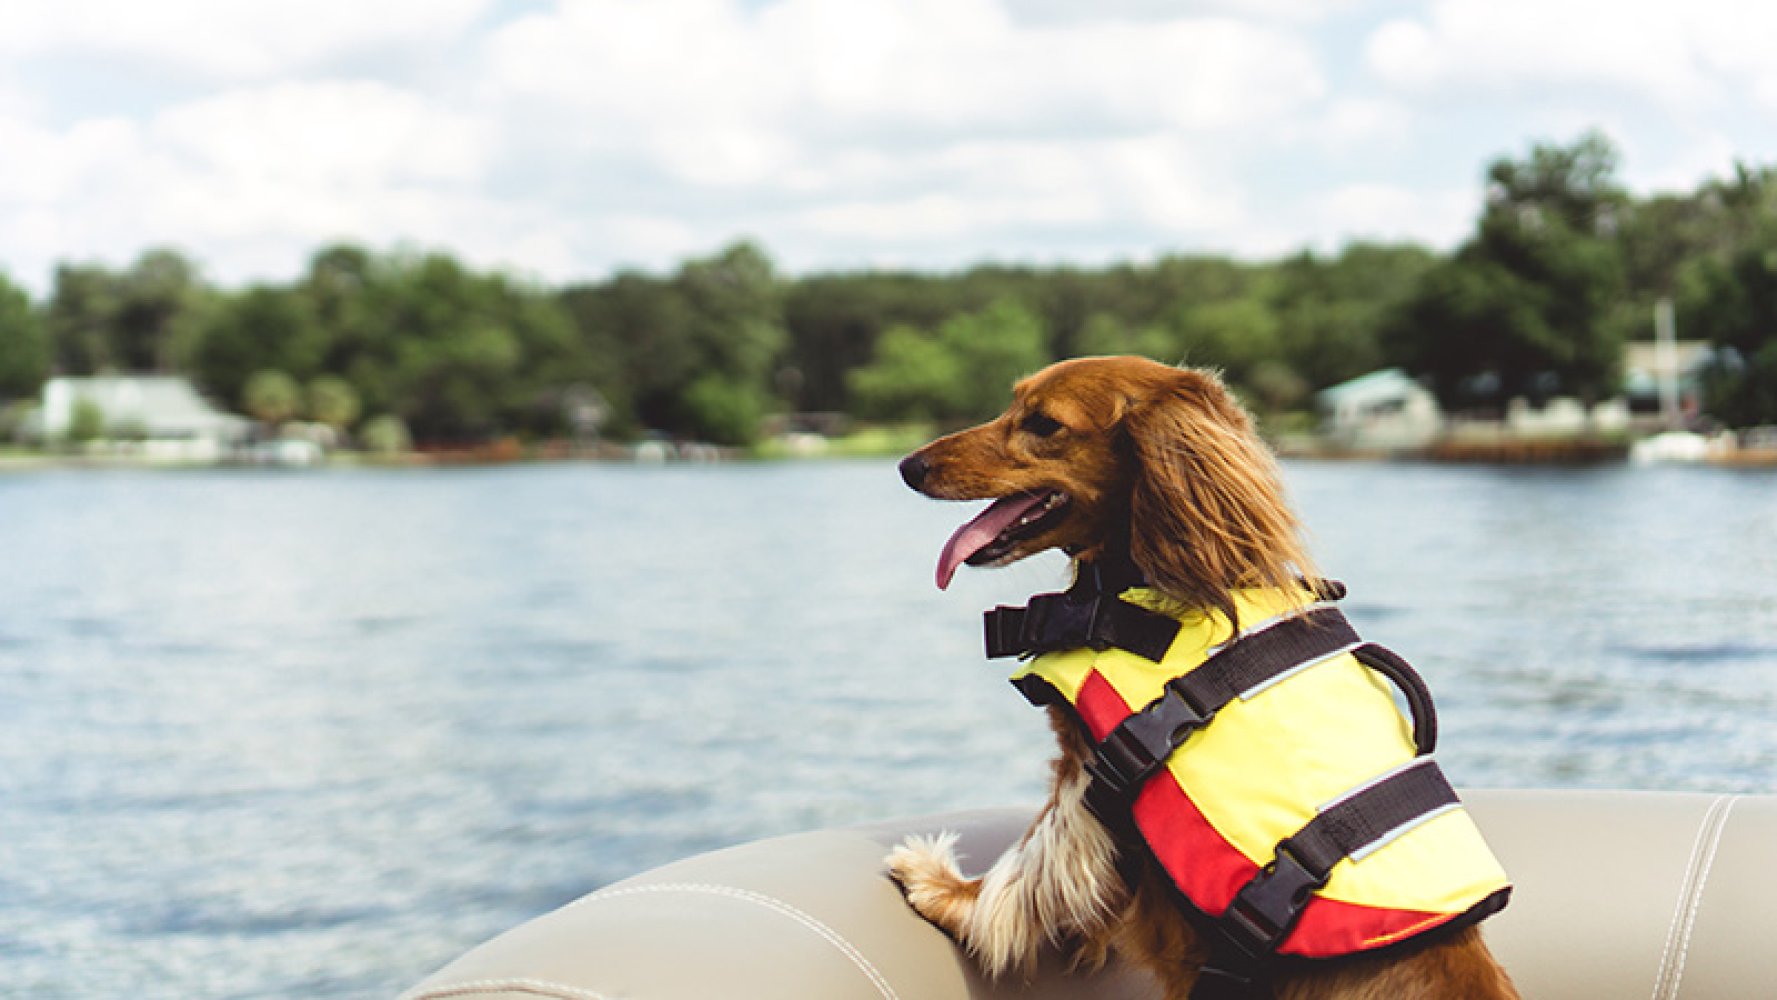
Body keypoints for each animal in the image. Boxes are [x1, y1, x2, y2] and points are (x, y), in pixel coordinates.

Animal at [884, 360, 1514, 1000]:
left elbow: (1028, 869)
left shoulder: (1088, 773)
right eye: (1014, 404)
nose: (910, 466)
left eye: (1043, 423)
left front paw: (945, 891)